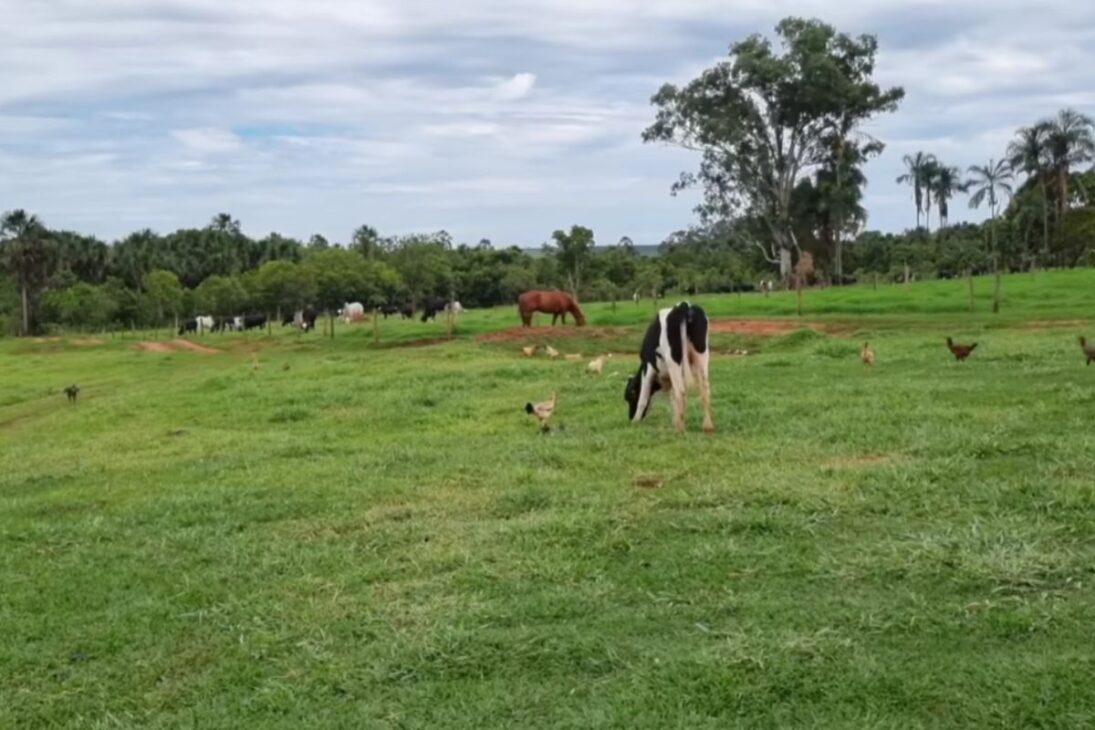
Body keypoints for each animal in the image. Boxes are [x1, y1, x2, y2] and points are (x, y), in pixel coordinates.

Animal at [624, 301, 714, 434]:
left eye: (629, 397)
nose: (630, 417)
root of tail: (683, 305)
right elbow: (673, 399)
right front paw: (675, 420)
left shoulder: (648, 368)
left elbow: (643, 398)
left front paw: (635, 421)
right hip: (702, 354)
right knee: (704, 390)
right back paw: (707, 426)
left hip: (673, 360)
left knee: (681, 391)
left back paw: (680, 430)